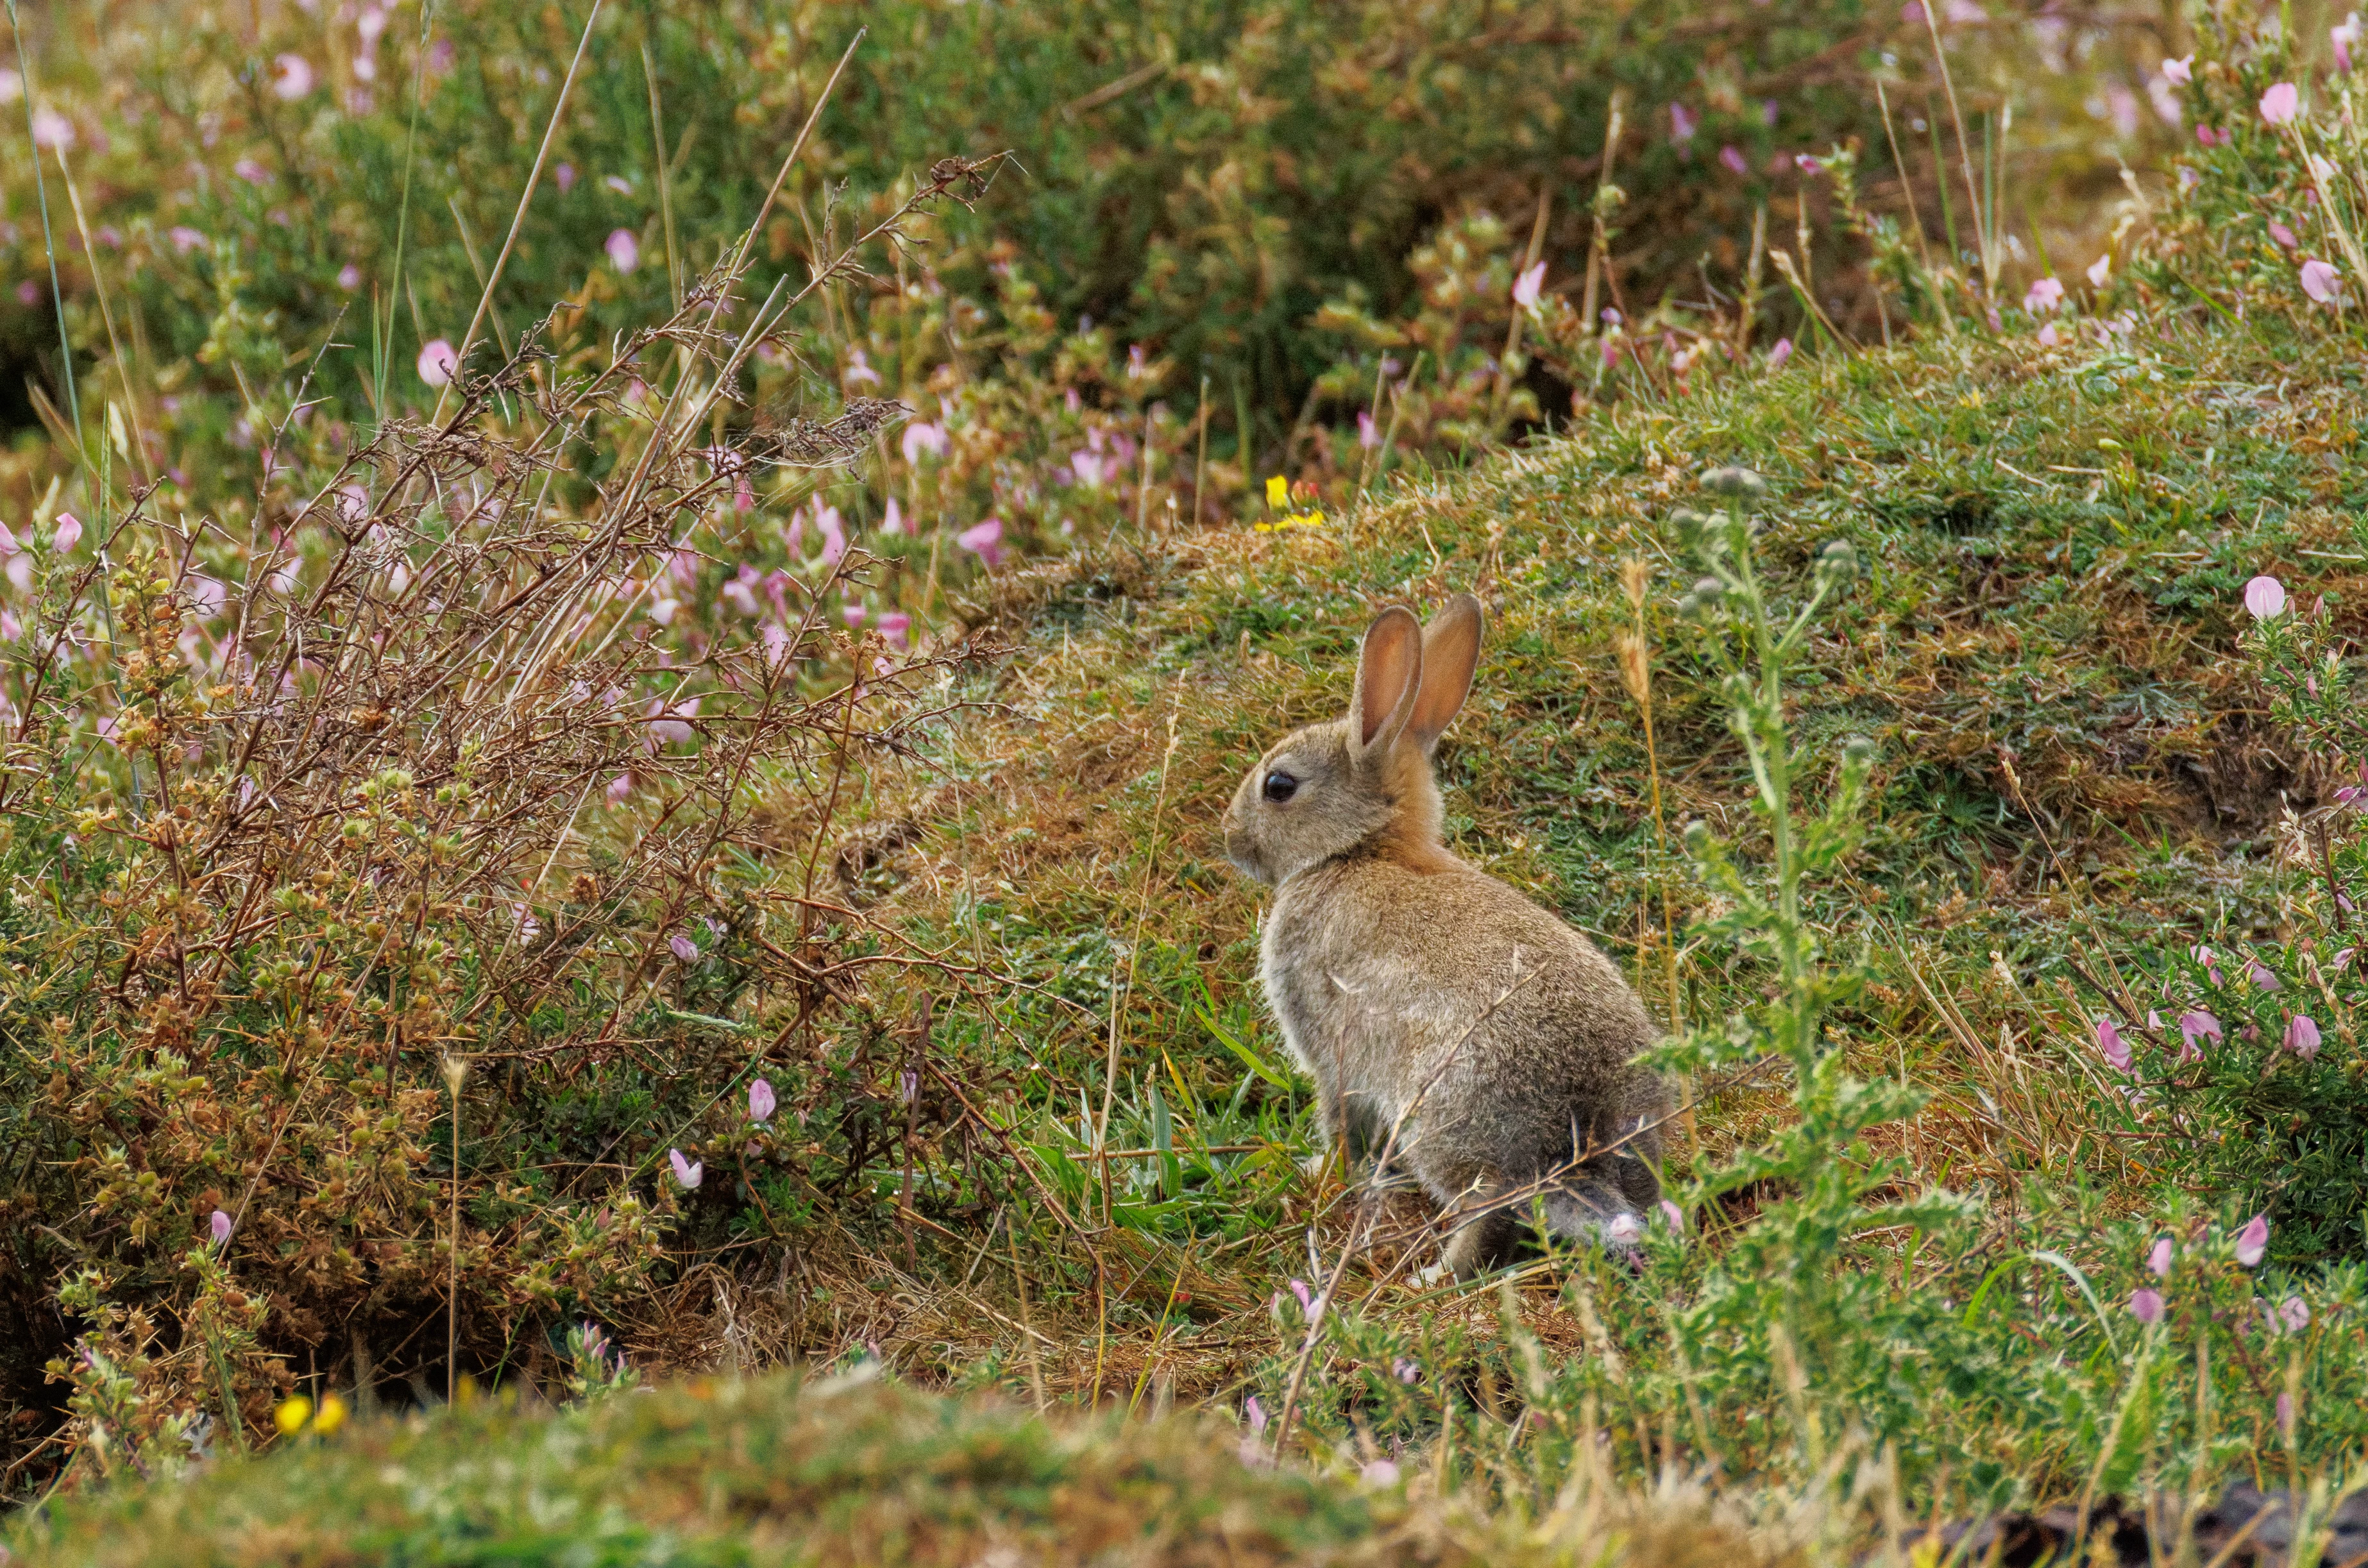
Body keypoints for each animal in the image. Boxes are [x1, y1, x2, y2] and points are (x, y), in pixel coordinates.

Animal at [1220, 592, 1669, 1279]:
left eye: (1279, 786)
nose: (1230, 838)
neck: (1359, 849)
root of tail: (1579, 1141)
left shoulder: (1330, 1056)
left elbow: (1339, 1124)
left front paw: (1319, 1171)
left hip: (1440, 1124)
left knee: (1489, 1215)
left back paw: (1431, 1276)